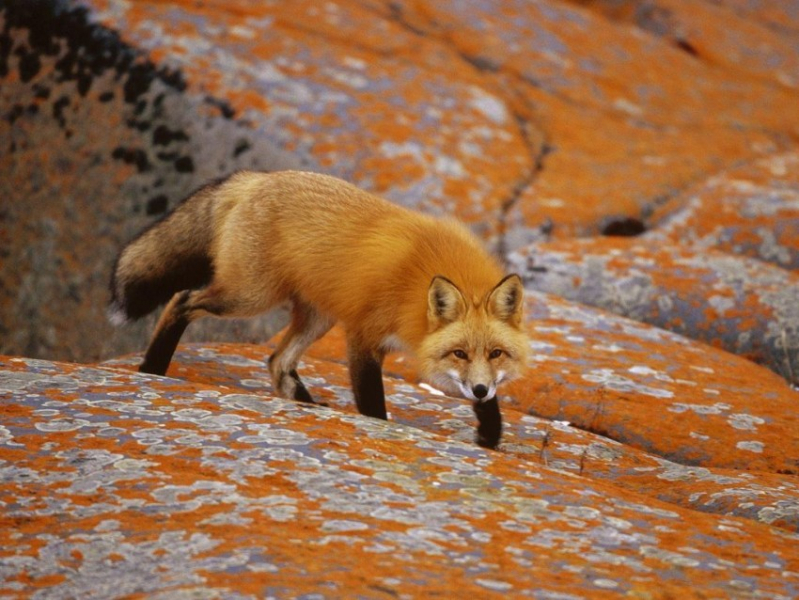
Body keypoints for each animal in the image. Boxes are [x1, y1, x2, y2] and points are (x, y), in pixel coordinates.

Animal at [108, 171, 532, 448]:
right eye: (459, 353)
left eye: (496, 353)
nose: (478, 389)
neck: (418, 283)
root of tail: (257, 177)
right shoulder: (363, 334)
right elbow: (372, 402)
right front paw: (379, 429)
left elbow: (491, 404)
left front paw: (490, 434)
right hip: (248, 297)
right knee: (181, 300)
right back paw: (152, 368)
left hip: (317, 316)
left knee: (277, 361)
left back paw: (308, 406)